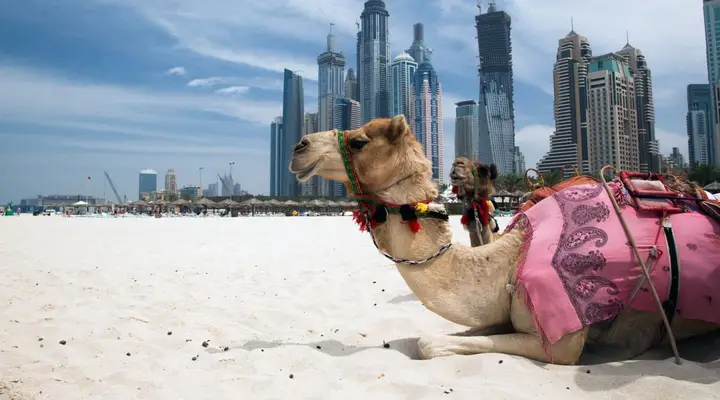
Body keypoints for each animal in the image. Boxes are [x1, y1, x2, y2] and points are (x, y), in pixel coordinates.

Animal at [289, 115, 720, 364]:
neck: (511, 259)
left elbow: (429, 344)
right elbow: (434, 339)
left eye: (359, 141)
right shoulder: (498, 313)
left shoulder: (563, 342)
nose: (298, 146)